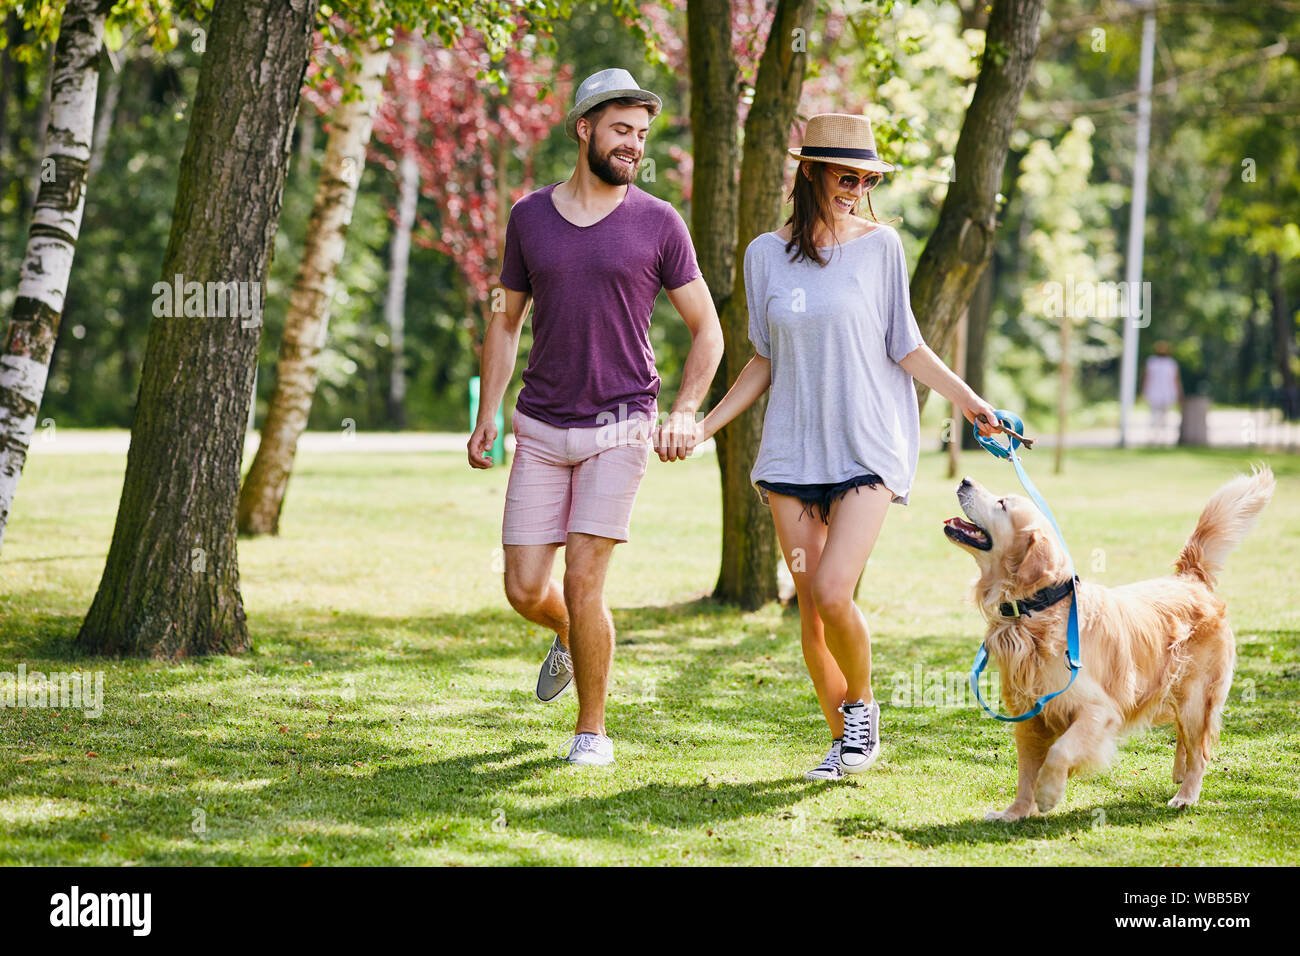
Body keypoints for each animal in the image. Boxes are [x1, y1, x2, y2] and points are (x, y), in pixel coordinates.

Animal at [941, 465, 1274, 822]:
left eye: (1002, 503)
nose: (965, 481)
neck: (1037, 609)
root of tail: (1190, 578)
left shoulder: (1100, 710)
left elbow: (1059, 751)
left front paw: (1048, 794)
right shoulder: (1029, 717)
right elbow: (1026, 772)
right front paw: (1014, 812)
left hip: (1196, 697)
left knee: (1201, 750)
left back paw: (1186, 795)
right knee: (1186, 739)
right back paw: (1179, 773)